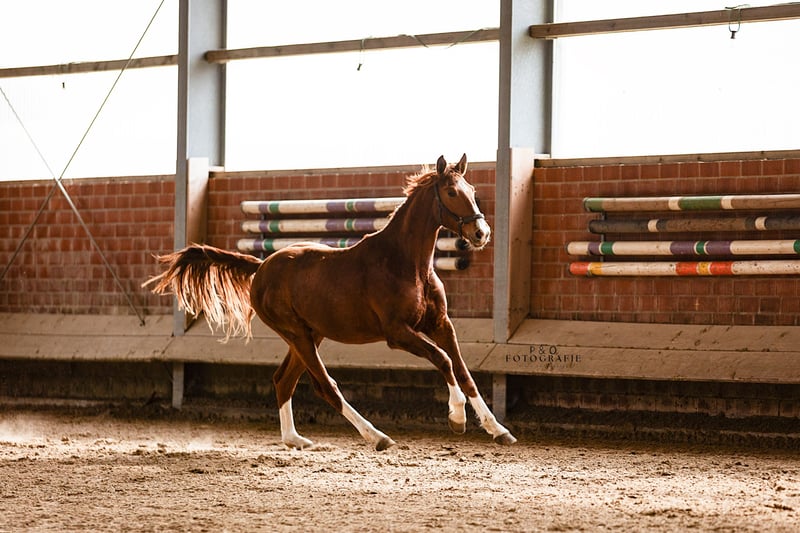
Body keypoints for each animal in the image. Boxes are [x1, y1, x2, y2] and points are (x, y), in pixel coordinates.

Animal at [145, 154, 516, 450]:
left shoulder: (440, 324)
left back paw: (295, 439)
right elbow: (444, 361)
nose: (481, 234)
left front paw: (498, 430)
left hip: (310, 334)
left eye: (473, 191)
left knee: (283, 379)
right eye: (452, 192)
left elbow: (464, 371)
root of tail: (261, 267)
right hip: (297, 334)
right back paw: (377, 437)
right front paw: (457, 419)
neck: (407, 263)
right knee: (325, 385)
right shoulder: (398, 334)